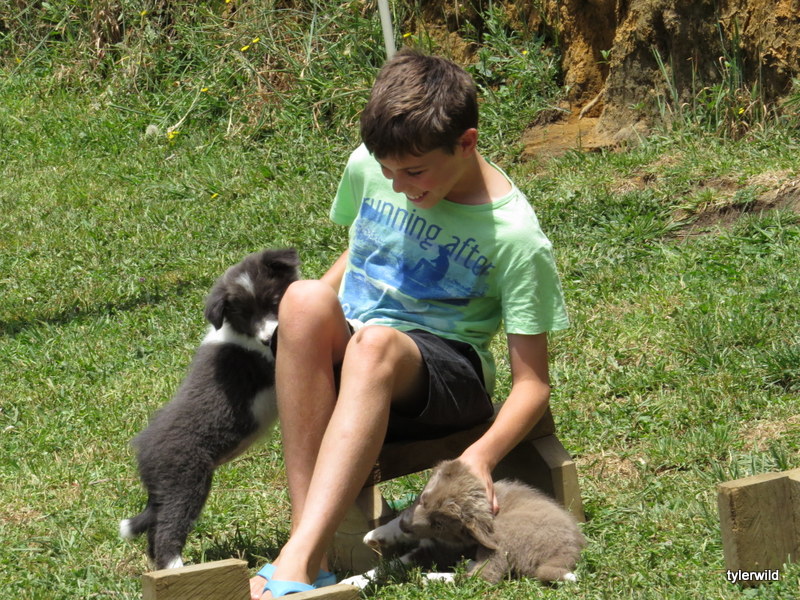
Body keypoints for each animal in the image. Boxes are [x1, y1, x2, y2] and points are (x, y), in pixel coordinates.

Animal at [119, 248, 299, 570]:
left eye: (275, 301)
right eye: (245, 314)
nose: (268, 338)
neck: (244, 336)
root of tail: (144, 451)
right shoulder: (270, 363)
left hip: (166, 489)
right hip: (185, 480)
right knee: (168, 528)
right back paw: (176, 567)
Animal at [357, 459, 585, 585]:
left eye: (439, 524)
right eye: (423, 500)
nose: (405, 527)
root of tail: (568, 550)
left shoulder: (438, 550)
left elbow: (392, 566)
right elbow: (396, 538)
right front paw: (376, 536)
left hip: (505, 535)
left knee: (485, 576)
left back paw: (428, 578)